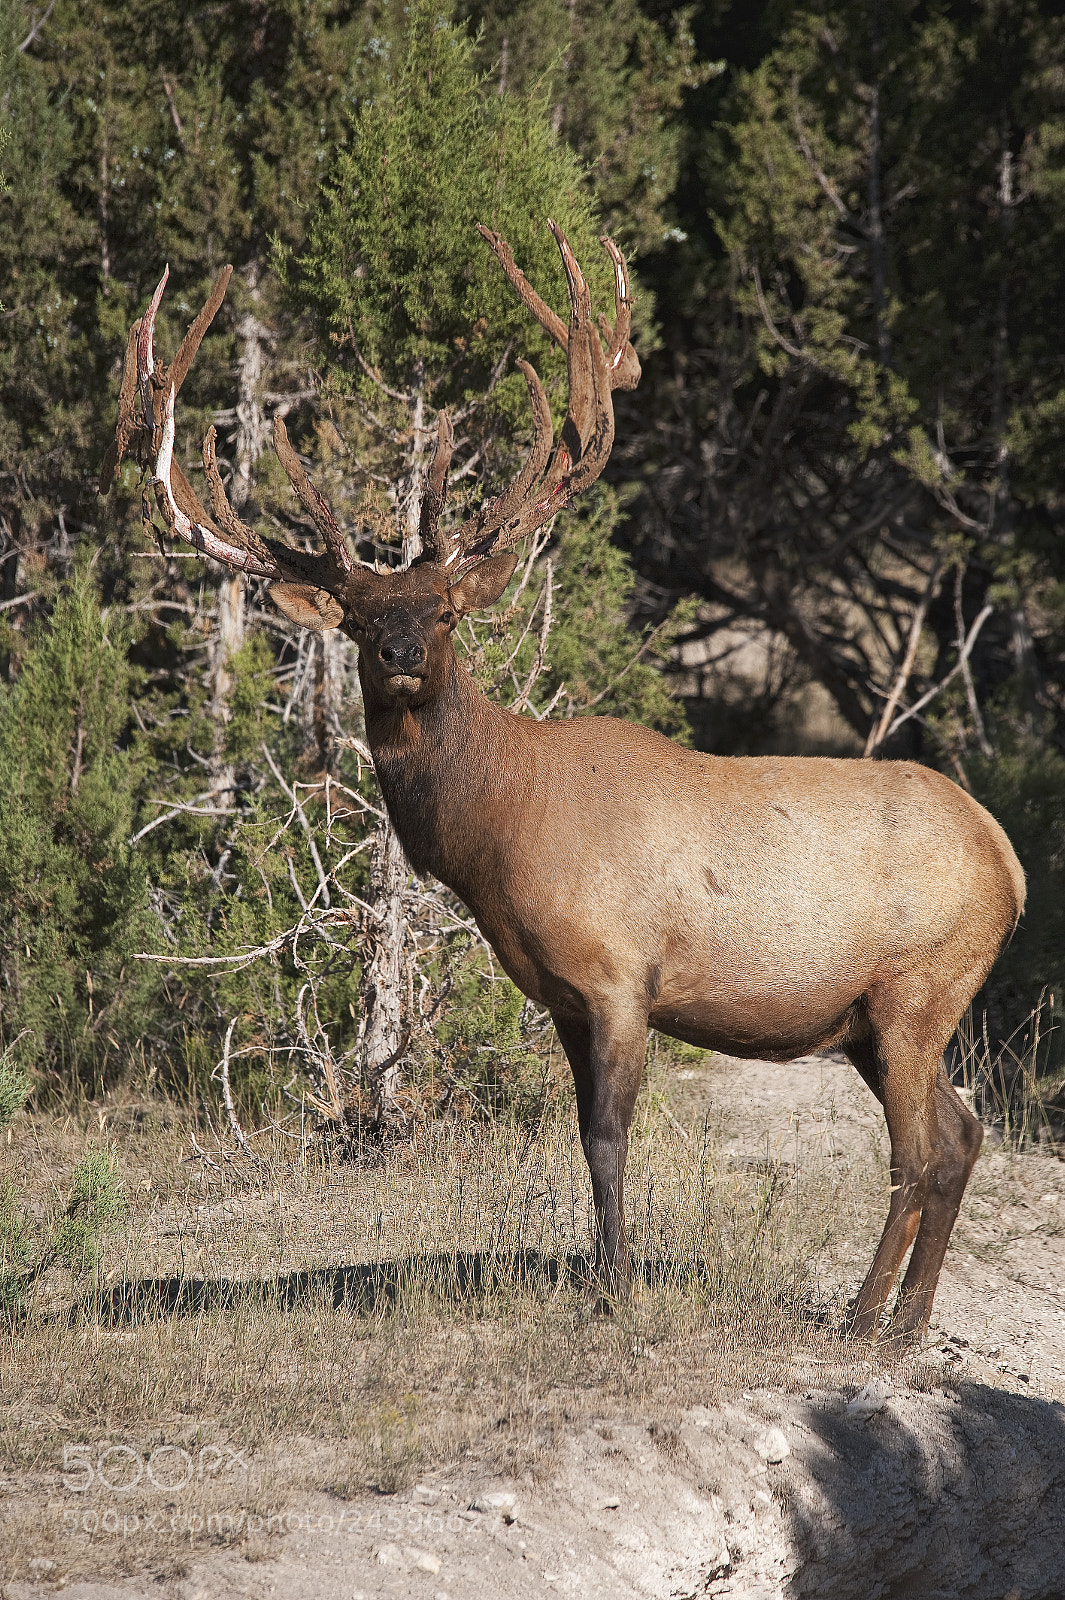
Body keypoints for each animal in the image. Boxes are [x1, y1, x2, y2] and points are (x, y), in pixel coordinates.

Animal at [100, 221, 1025, 1349]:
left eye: (445, 610)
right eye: (358, 619)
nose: (400, 653)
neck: (504, 833)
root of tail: (1010, 864)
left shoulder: (622, 975)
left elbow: (612, 1139)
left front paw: (617, 1292)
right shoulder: (558, 995)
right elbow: (584, 1141)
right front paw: (596, 1279)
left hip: (916, 987)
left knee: (919, 1150)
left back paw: (860, 1319)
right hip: (875, 1017)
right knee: (964, 1134)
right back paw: (907, 1320)